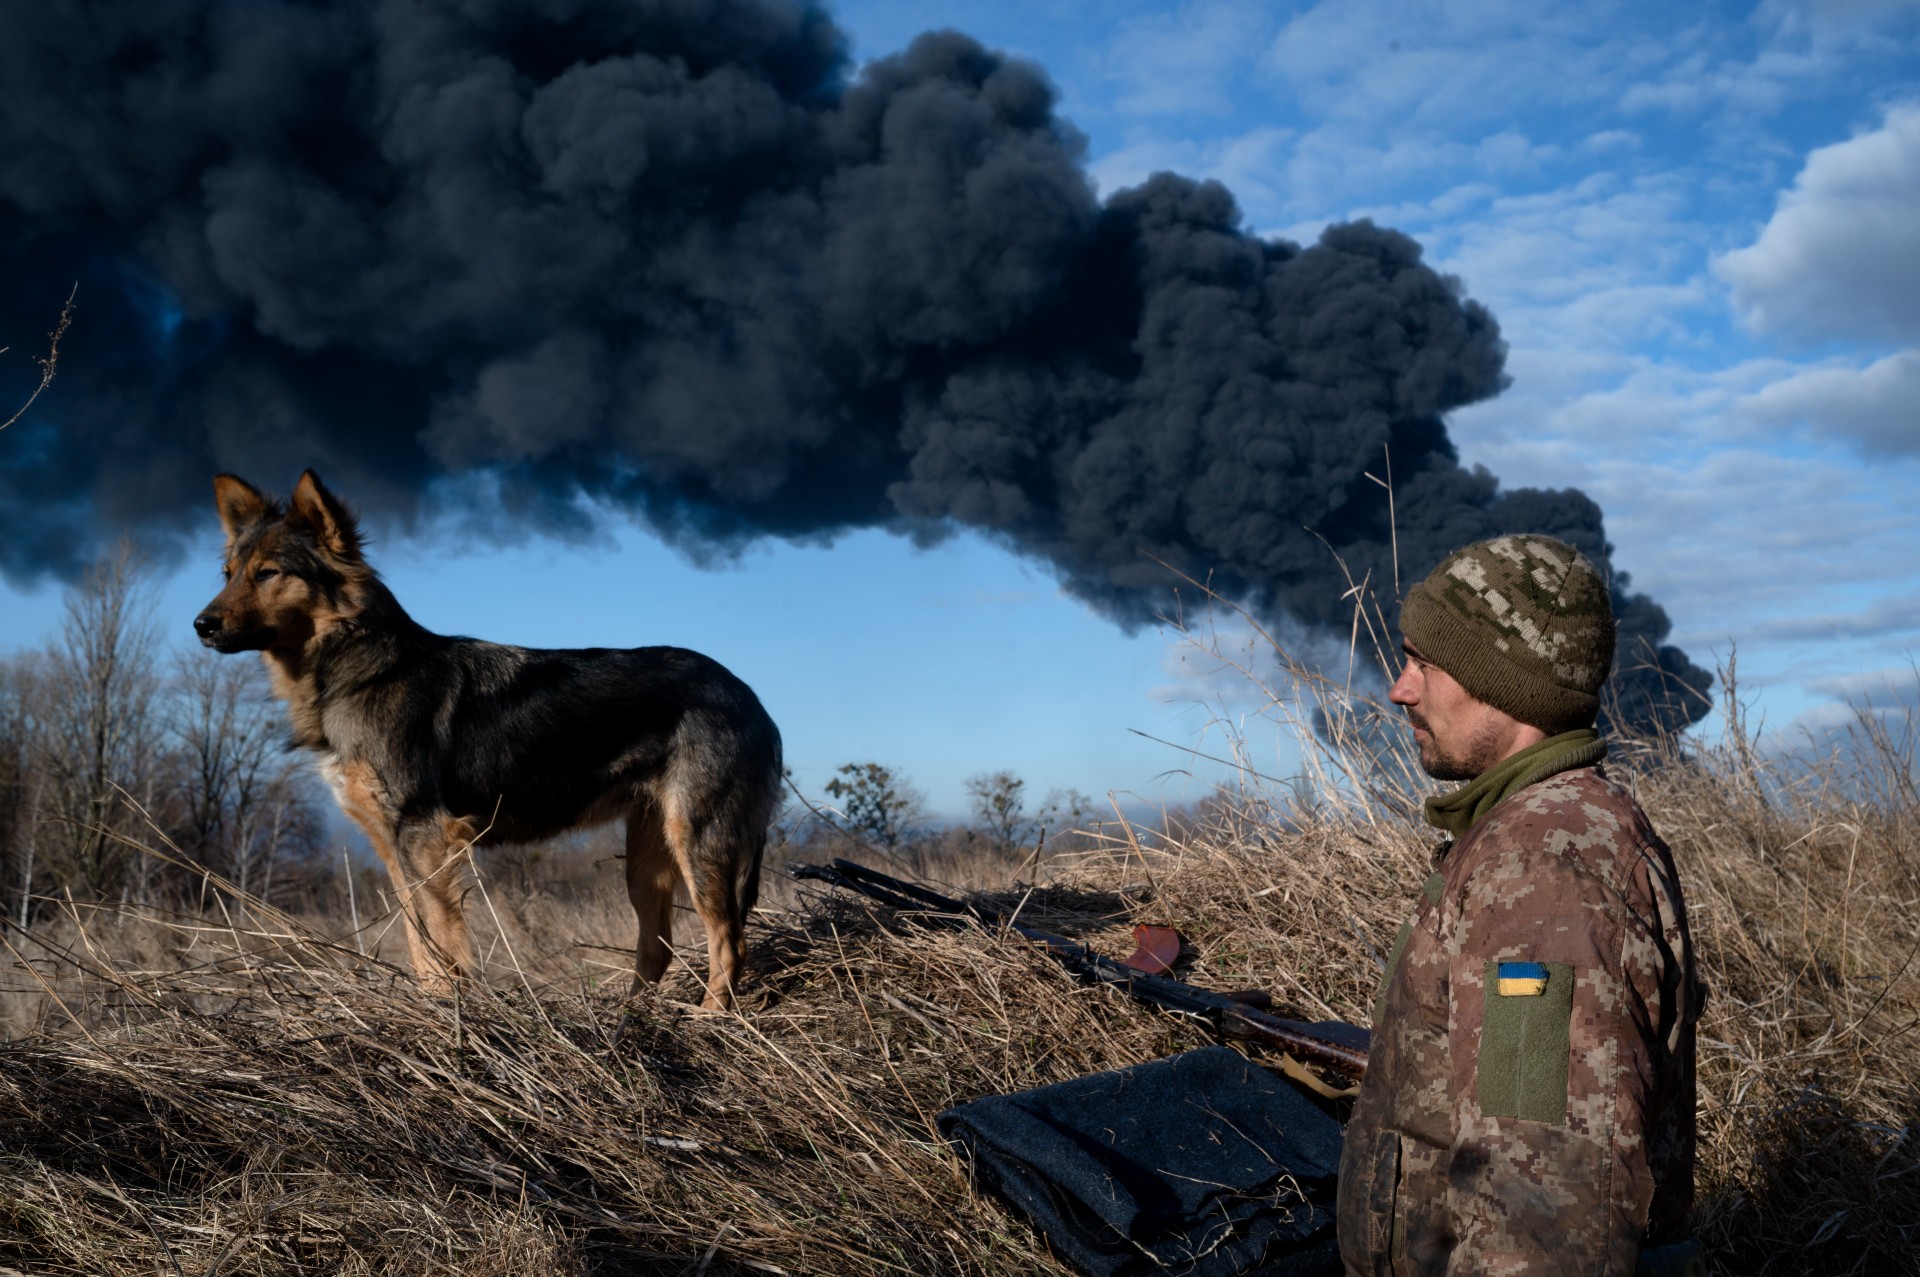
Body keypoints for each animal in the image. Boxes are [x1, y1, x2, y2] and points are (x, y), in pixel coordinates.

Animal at [192, 468, 779, 1006]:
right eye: (228, 573)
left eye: (268, 573)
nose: (201, 625)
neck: (361, 663)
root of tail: (750, 698)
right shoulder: (395, 850)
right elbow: (420, 946)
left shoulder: (427, 840)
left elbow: (442, 944)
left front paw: (453, 1012)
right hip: (648, 858)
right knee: (657, 948)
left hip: (698, 842)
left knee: (730, 944)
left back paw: (708, 1021)